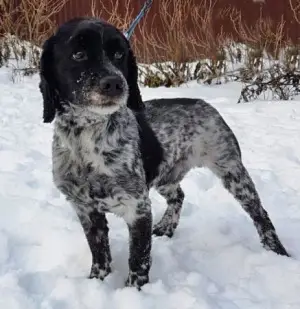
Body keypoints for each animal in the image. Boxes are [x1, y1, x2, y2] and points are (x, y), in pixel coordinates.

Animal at [38, 16, 290, 288]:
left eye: (119, 54)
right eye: (78, 54)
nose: (115, 83)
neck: (85, 138)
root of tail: (204, 103)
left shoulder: (137, 207)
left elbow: (138, 259)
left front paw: (134, 291)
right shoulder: (85, 209)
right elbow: (99, 254)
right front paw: (97, 282)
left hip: (232, 172)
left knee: (260, 213)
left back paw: (276, 251)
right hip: (166, 176)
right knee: (179, 196)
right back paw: (167, 227)